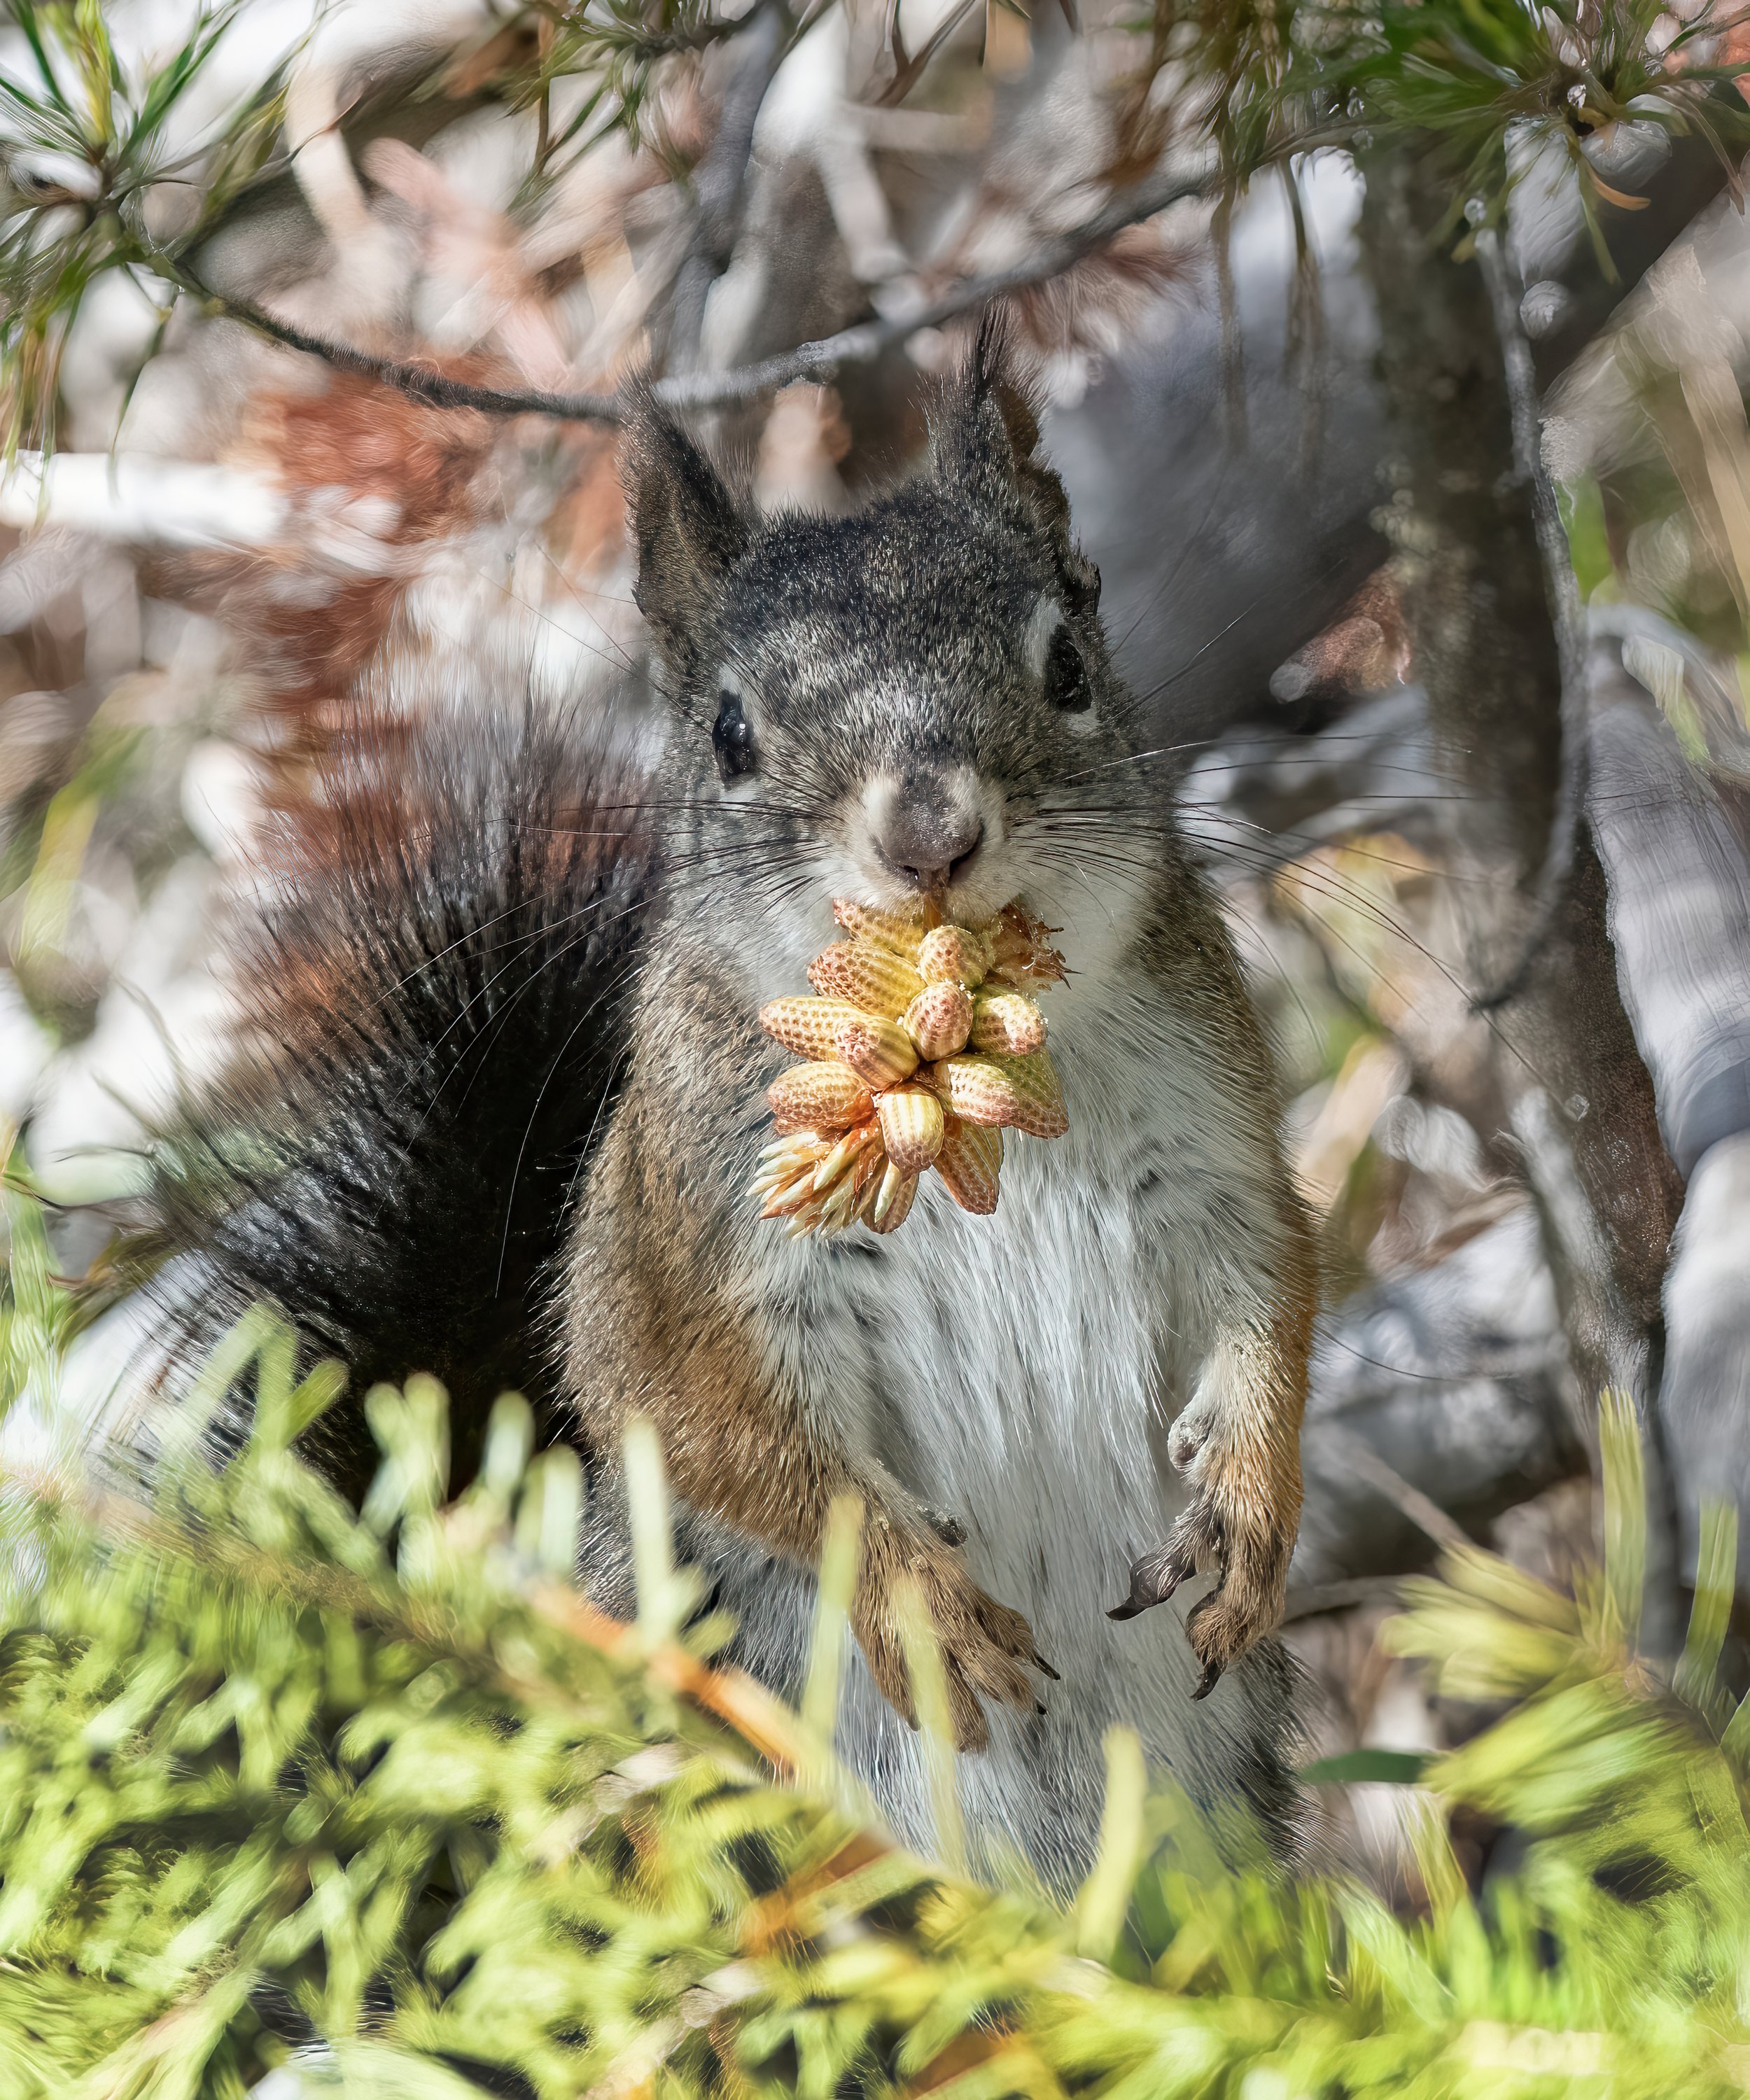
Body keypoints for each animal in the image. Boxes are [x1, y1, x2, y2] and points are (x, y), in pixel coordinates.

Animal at [131, 326, 1315, 1884]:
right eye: (731, 731)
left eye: (1068, 660)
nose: (930, 835)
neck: (967, 1098)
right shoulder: (681, 1254)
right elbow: (706, 1424)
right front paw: (913, 1598)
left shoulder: (1212, 1139)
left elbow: (1270, 1291)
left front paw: (1247, 1499)